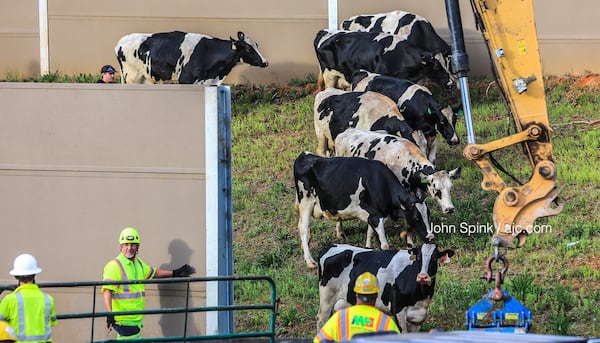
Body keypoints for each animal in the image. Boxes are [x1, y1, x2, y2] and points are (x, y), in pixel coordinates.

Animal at [115, 30, 270, 84]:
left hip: (145, 78)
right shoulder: (186, 79)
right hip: (130, 77)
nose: (265, 62)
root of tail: (120, 42)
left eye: (257, 44)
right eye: (248, 48)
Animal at [292, 153, 428, 268]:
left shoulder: (373, 215)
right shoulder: (377, 217)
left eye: (428, 215)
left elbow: (369, 233)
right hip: (306, 202)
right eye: (416, 217)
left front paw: (367, 249)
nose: (430, 236)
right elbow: (384, 245)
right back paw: (309, 260)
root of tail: (304, 155)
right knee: (303, 228)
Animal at [316, 243, 452, 334]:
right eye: (419, 257)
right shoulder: (398, 311)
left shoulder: (419, 316)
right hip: (327, 297)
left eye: (434, 258)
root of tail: (329, 247)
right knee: (321, 320)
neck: (421, 295)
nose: (423, 276)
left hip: (345, 301)